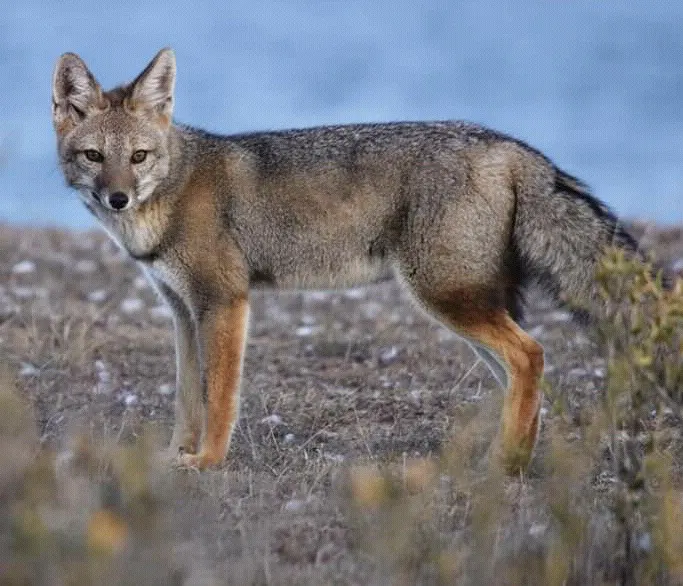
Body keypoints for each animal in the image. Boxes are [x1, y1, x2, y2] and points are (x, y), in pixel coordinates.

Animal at [52, 48, 638, 471]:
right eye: (95, 157)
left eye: (139, 157)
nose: (117, 198)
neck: (172, 192)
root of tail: (507, 144)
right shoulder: (182, 310)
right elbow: (185, 398)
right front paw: (176, 455)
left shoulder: (224, 302)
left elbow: (218, 398)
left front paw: (209, 461)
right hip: (472, 307)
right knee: (524, 370)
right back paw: (517, 460)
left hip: (446, 297)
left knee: (530, 355)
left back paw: (504, 463)